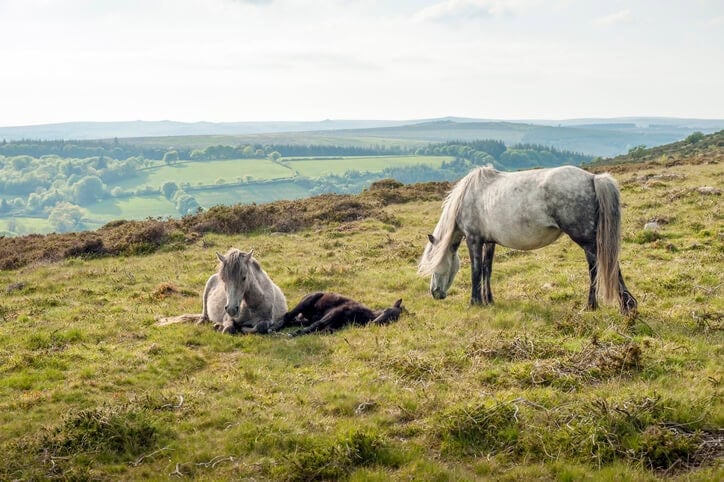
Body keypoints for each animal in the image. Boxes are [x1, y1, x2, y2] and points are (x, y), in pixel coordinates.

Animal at [156, 248, 288, 334]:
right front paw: (225, 327)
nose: (232, 309)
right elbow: (228, 328)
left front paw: (244, 329)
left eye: (244, 277)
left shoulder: (270, 320)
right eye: (223, 278)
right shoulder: (228, 317)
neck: (254, 304)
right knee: (204, 316)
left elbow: (262, 326)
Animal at [272, 292, 405, 336]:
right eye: (387, 310)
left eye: (392, 320)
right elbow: (317, 325)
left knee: (292, 320)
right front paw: (292, 334)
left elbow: (320, 331)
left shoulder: (333, 327)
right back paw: (274, 330)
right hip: (305, 303)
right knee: (288, 315)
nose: (375, 322)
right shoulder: (333, 313)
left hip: (304, 319)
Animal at [418, 165, 637, 316]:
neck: (469, 195)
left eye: (434, 265)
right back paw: (627, 305)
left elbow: (476, 271)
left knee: (596, 268)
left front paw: (475, 302)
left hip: (587, 241)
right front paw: (489, 300)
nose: (434, 293)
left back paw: (593, 305)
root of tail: (593, 178)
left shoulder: (474, 240)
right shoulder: (489, 242)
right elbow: (487, 270)